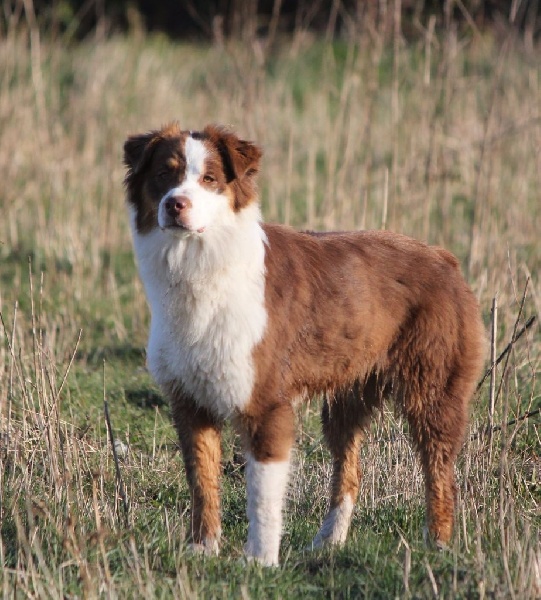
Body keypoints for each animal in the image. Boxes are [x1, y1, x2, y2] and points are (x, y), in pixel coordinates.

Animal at [123, 123, 486, 568]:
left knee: (440, 470)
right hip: (348, 394)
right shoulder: (190, 401)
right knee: (350, 468)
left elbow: (262, 495)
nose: (176, 205)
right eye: (163, 174)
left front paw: (260, 562)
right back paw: (329, 542)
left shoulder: (266, 403)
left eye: (209, 178)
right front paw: (203, 551)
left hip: (432, 389)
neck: (198, 264)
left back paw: (437, 545)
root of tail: (444, 258)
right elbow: (202, 483)